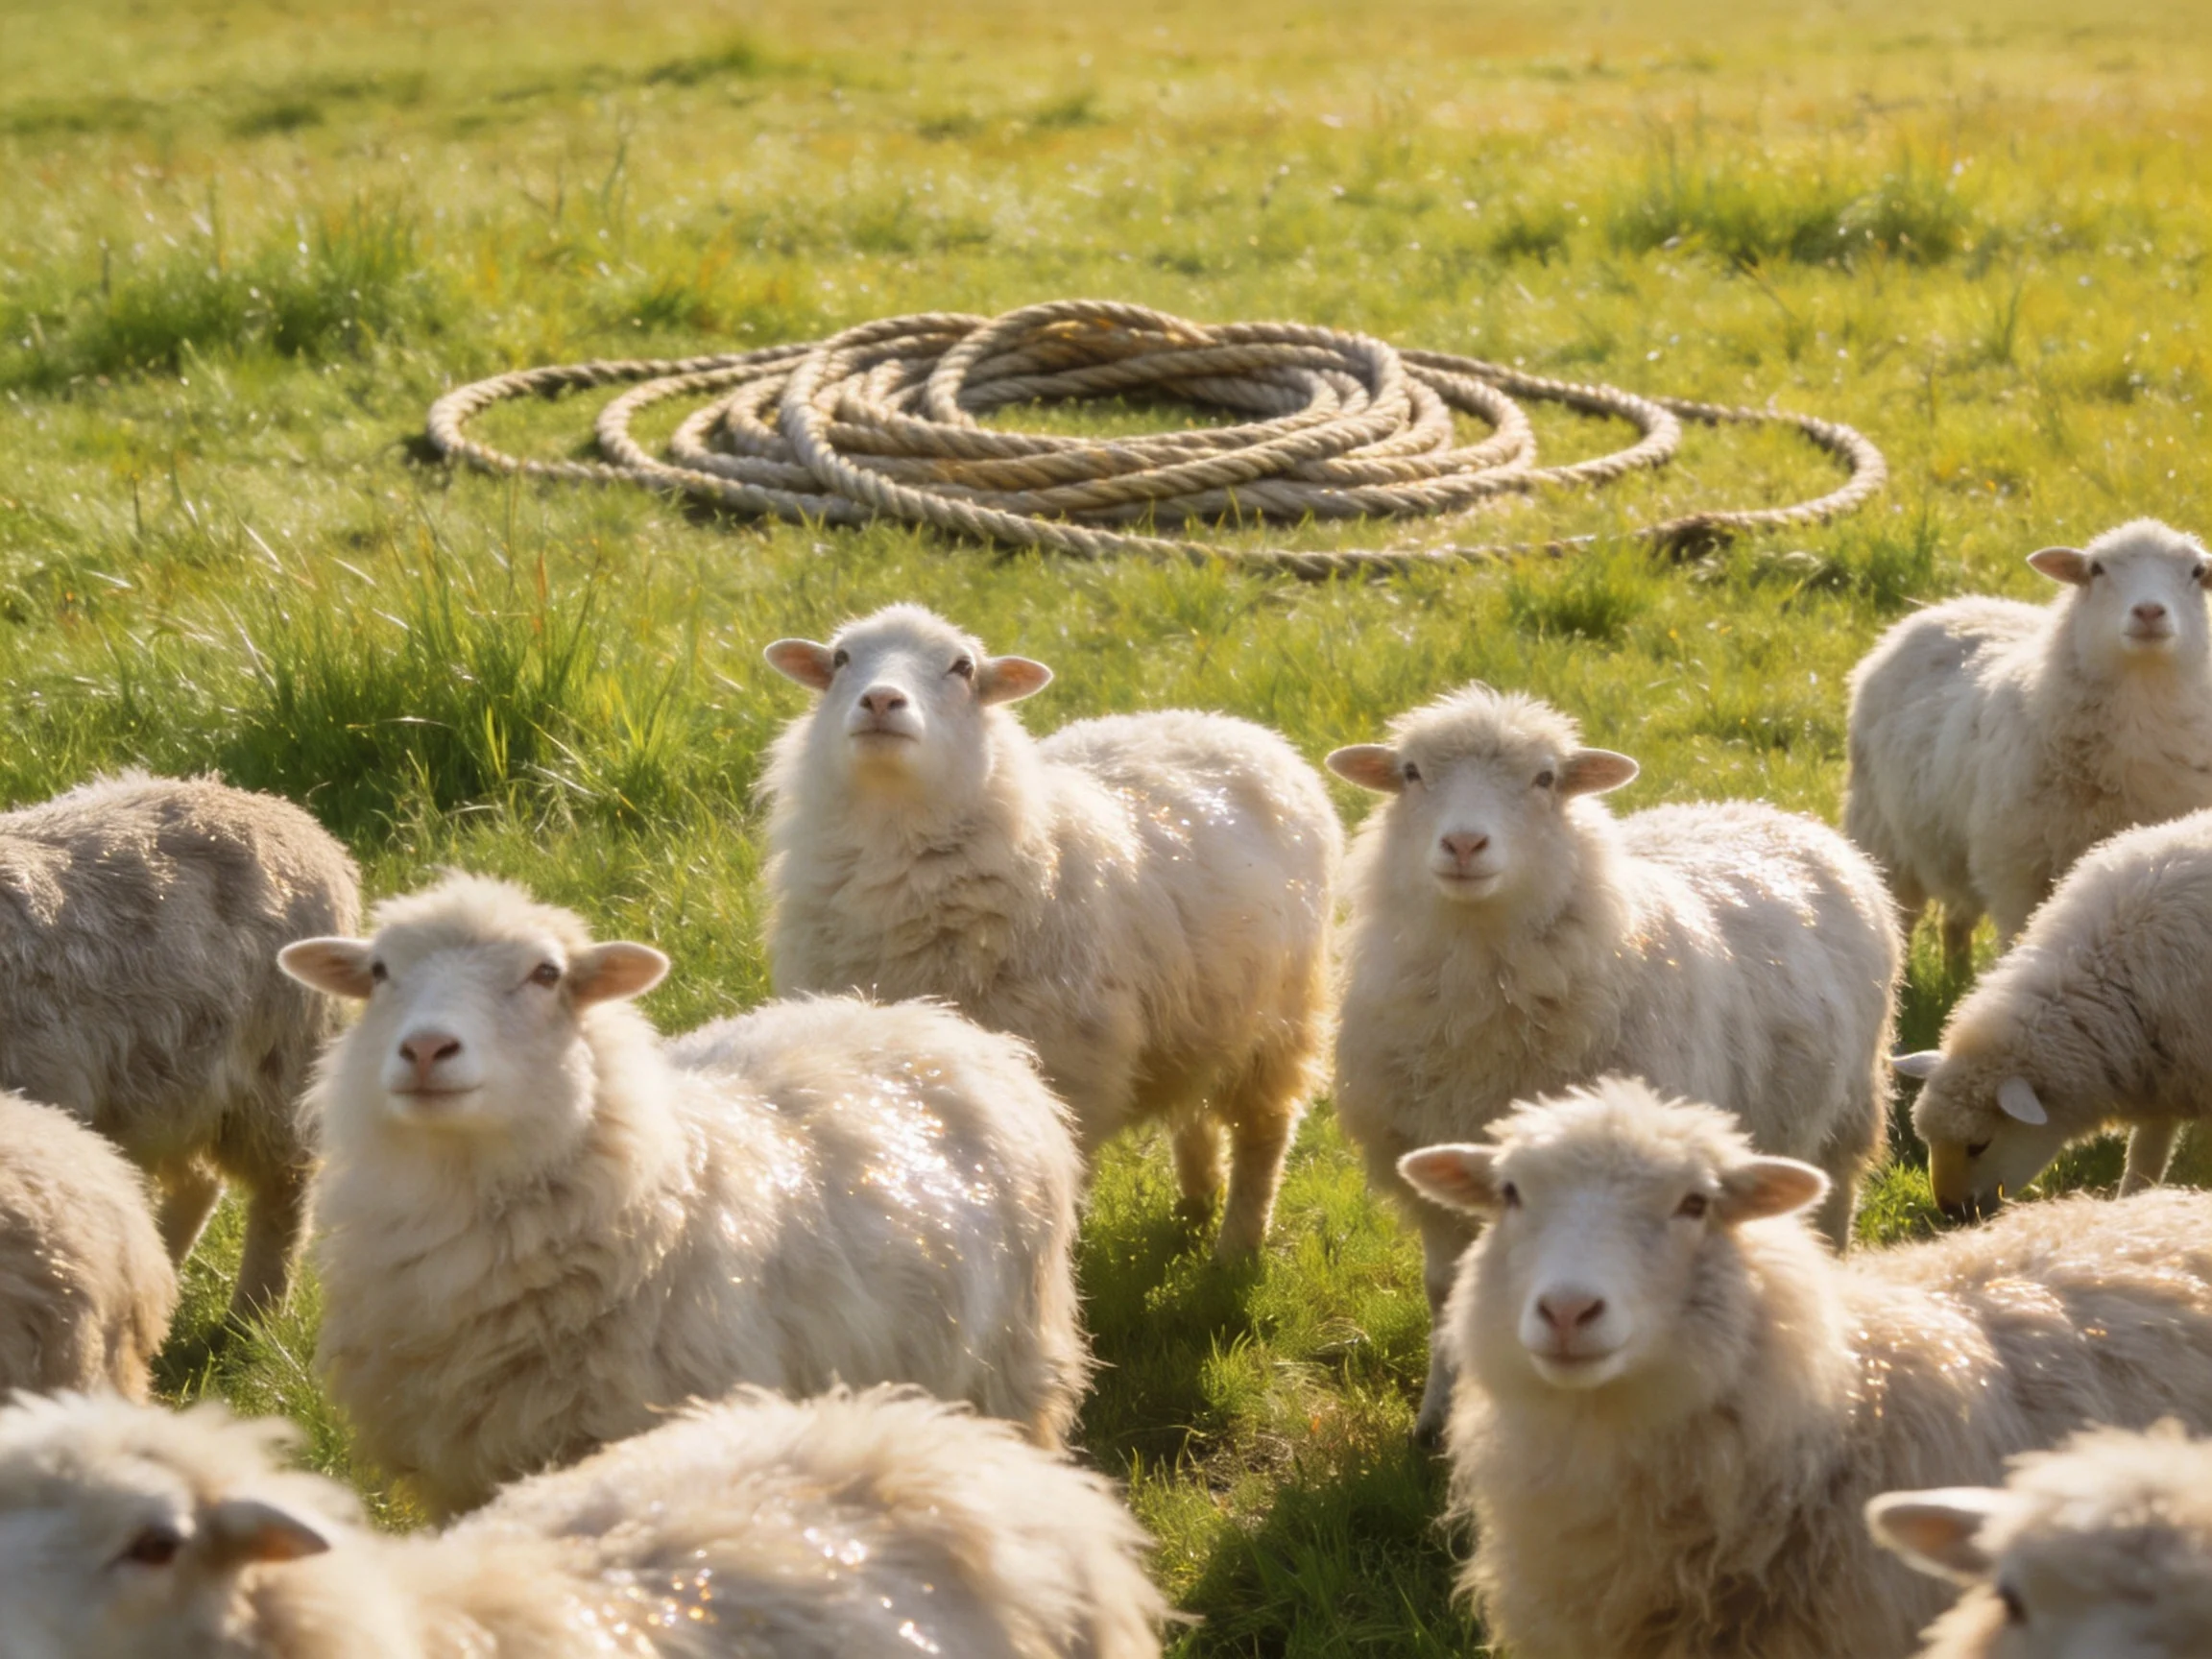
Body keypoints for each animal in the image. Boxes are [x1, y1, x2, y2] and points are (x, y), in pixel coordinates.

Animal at [279, 871, 1087, 1519]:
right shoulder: (461, 1473)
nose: (425, 1049)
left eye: (545, 973)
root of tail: (924, 1016)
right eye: (380, 971)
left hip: (1011, 1371)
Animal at [759, 603, 1341, 1258]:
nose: (881, 700)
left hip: (1281, 1016)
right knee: (1193, 1107)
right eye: (840, 659)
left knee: (1264, 1132)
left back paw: (1236, 1249)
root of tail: (1225, 722)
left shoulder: (1070, 1072)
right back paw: (1194, 1204)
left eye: (962, 668)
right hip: (1201, 1010)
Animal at [1326, 683, 1900, 1439]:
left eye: (1545, 779)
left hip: (1849, 1113)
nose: (1464, 843)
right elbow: (1446, 1290)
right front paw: (1438, 1418)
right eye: (1412, 773)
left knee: (1834, 1212)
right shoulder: (1430, 1167)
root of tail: (1763, 809)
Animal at [1844, 518, 2212, 973]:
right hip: (1882, 831)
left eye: (2197, 571)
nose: (2149, 612)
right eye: (2096, 569)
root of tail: (1949, 606)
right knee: (1901, 918)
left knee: (1955, 920)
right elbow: (2018, 943)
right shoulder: (2016, 875)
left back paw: (1958, 975)